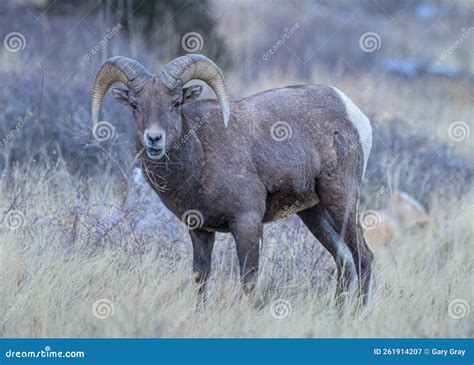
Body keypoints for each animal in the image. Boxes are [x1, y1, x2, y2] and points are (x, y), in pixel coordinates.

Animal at [91, 53, 374, 304]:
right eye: (135, 105)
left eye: (176, 103)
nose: (154, 139)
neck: (199, 158)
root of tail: (352, 111)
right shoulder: (200, 231)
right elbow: (201, 278)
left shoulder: (247, 223)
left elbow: (248, 280)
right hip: (313, 213)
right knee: (344, 261)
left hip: (341, 200)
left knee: (364, 257)